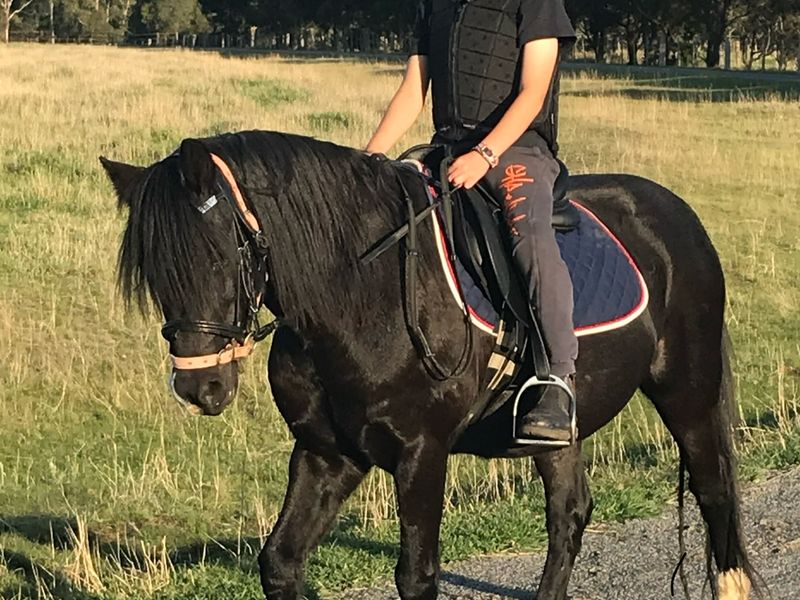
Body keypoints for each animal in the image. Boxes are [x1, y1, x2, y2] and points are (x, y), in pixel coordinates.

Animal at [101, 130, 755, 600]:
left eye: (216, 256)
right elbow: (279, 563)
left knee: (715, 493)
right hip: (557, 423)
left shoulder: (422, 453)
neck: (361, 293)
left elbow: (416, 576)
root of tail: (674, 212)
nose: (199, 385)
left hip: (689, 392)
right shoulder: (327, 453)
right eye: (156, 271)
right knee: (569, 515)